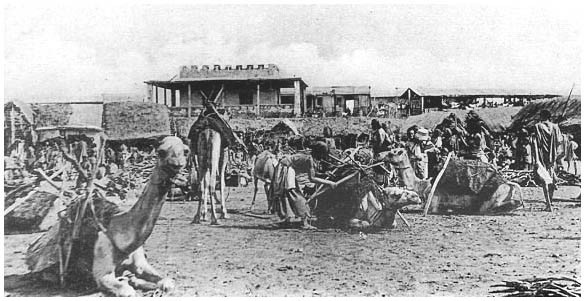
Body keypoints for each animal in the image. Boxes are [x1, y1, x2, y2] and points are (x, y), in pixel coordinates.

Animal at [26, 136, 188, 296]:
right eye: (161, 151)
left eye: (186, 151)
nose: (177, 164)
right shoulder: (102, 264)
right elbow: (126, 290)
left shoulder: (140, 263)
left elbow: (167, 282)